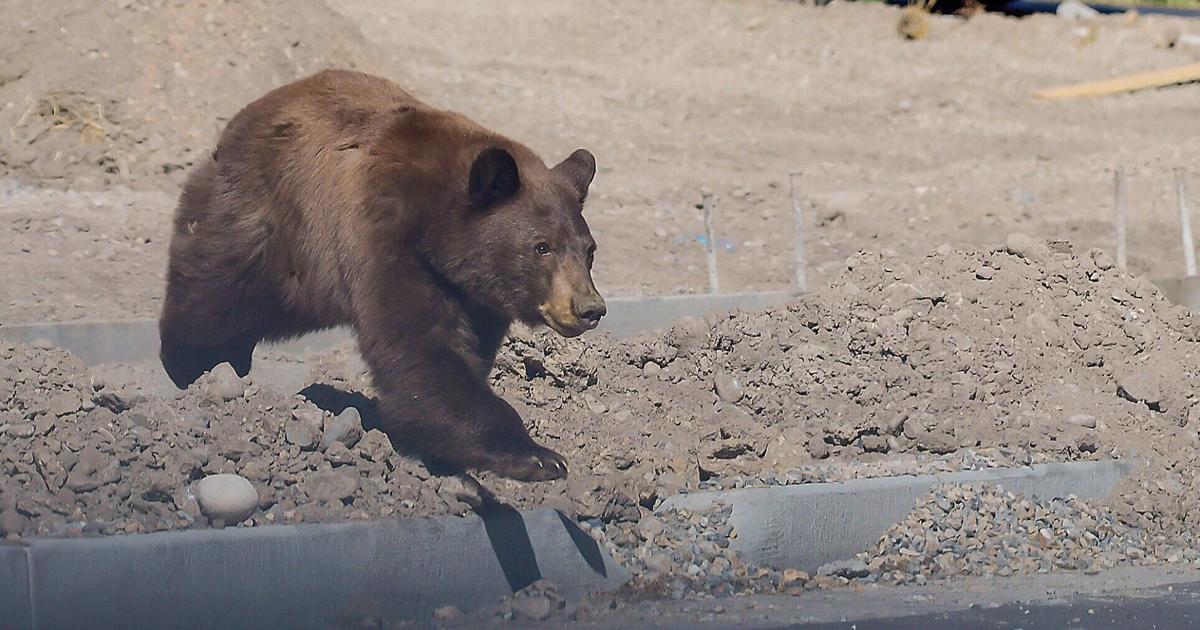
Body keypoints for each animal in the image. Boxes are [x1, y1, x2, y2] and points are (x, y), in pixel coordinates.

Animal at [159, 69, 605, 482]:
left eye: (589, 250)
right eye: (542, 247)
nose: (590, 308)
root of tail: (239, 123)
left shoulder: (476, 295)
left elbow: (463, 354)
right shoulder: (382, 237)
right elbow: (419, 349)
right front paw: (536, 455)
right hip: (263, 225)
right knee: (212, 295)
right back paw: (193, 366)